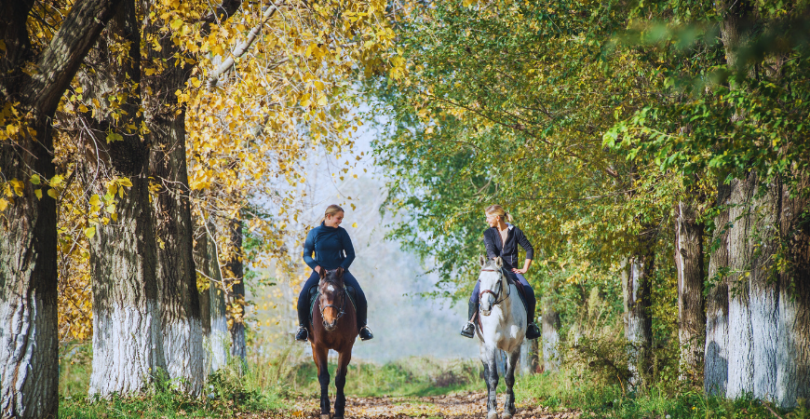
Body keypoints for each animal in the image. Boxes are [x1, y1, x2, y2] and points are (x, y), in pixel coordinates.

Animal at [308, 267, 358, 419]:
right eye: (321, 294)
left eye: (341, 294)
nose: (330, 323)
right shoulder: (319, 347)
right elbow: (324, 377)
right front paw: (325, 410)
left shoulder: (346, 348)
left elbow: (340, 378)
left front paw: (339, 410)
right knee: (320, 373)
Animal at [475, 255, 527, 419]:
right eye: (480, 280)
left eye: (498, 281)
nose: (485, 308)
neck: (503, 314)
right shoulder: (491, 346)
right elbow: (492, 378)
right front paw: (492, 411)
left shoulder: (514, 347)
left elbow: (509, 378)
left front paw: (507, 410)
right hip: (482, 347)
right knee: (487, 375)